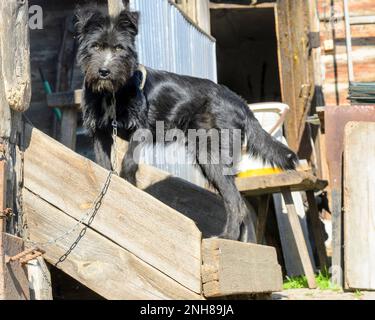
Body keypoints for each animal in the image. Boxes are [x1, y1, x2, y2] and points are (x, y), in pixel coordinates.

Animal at [75, 6, 298, 240]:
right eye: (95, 46)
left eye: (119, 48)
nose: (104, 72)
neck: (111, 94)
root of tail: (239, 101)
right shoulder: (100, 133)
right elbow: (103, 165)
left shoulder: (141, 129)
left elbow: (128, 161)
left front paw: (129, 184)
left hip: (210, 154)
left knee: (236, 202)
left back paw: (226, 237)